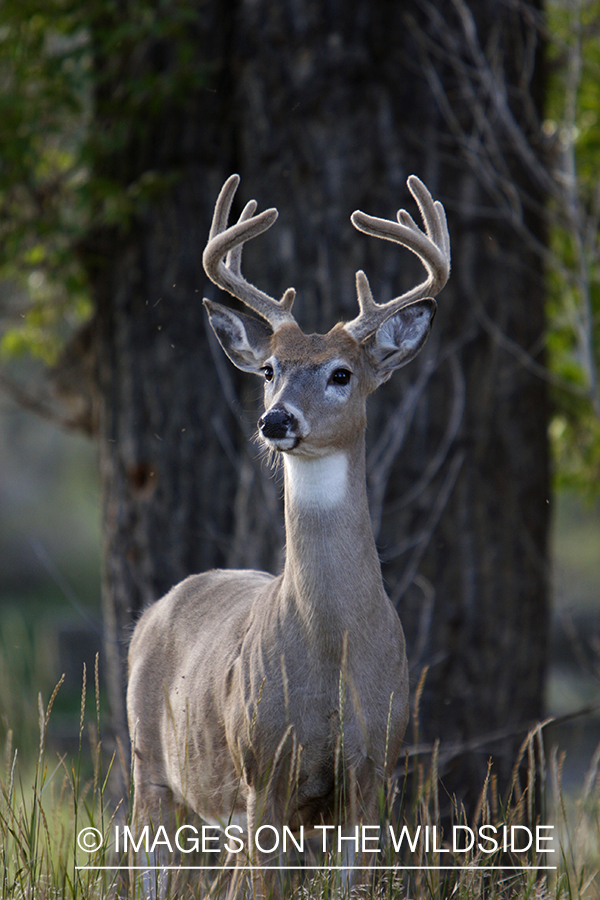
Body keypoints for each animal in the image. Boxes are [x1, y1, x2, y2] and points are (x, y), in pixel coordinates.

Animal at [126, 172, 450, 896]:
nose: (276, 421)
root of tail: (154, 609)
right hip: (150, 764)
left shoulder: (373, 769)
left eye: (342, 373)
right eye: (270, 368)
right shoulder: (263, 768)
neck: (332, 648)